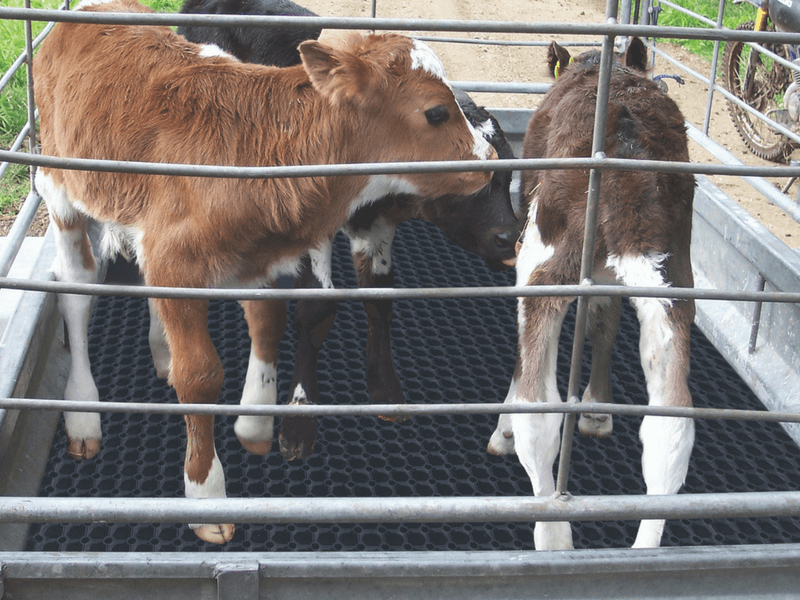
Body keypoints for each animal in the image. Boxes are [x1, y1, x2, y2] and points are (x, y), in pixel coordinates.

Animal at [171, 0, 521, 460]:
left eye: (509, 175)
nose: (509, 238)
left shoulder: (378, 225)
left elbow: (379, 295)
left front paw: (386, 390)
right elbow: (317, 307)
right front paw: (300, 415)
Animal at [486, 38, 696, 550]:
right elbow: (604, 321)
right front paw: (598, 408)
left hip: (543, 259)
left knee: (538, 412)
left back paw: (553, 536)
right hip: (674, 278)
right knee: (671, 424)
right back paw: (643, 551)